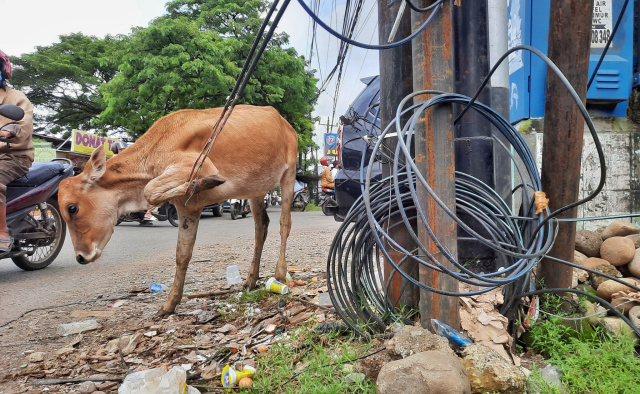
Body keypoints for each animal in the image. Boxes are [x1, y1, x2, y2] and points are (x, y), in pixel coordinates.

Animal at [58, 106, 298, 316]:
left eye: (72, 208)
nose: (81, 257)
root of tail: (283, 121)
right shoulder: (187, 208)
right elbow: (182, 254)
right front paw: (169, 304)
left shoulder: (200, 166)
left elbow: (150, 190)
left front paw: (204, 182)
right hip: (256, 189)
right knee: (261, 227)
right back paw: (251, 279)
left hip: (290, 172)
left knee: (284, 223)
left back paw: (280, 273)